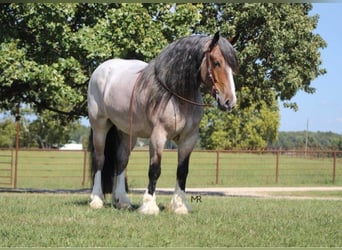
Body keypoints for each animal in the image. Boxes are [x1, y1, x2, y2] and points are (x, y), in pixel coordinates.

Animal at [87, 31, 238, 215]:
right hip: (100, 127)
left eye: (233, 66)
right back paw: (96, 199)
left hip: (126, 132)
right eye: (216, 62)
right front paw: (149, 206)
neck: (176, 95)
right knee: (99, 159)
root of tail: (101, 69)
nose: (229, 102)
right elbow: (154, 170)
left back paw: (122, 201)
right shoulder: (158, 136)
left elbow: (182, 171)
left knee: (121, 160)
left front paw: (179, 206)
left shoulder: (189, 139)